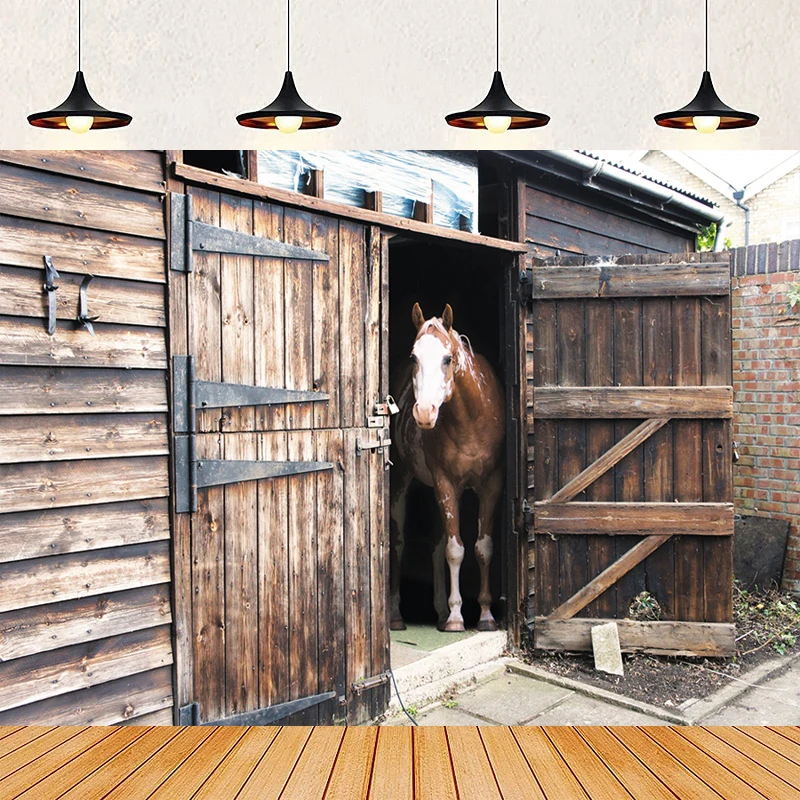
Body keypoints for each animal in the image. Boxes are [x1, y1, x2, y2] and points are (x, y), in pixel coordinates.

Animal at [389, 302, 505, 633]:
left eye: (447, 358)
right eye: (414, 357)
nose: (425, 413)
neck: (470, 421)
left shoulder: (492, 483)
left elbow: (482, 547)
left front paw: (486, 615)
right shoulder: (445, 483)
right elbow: (456, 551)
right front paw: (456, 617)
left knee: (436, 544)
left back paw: (440, 612)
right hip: (403, 481)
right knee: (398, 543)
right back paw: (397, 615)